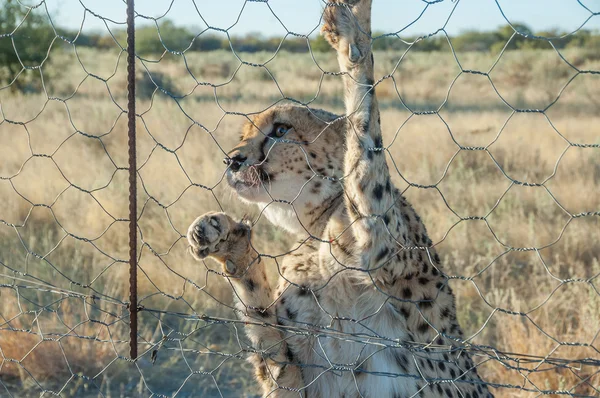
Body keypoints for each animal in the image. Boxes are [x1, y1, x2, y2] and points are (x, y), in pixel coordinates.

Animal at [188, 1, 492, 396]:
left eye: (281, 130)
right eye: (244, 135)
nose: (232, 160)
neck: (318, 227)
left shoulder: (378, 240)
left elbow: (364, 131)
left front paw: (353, 34)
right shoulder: (293, 380)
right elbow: (263, 327)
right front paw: (227, 241)